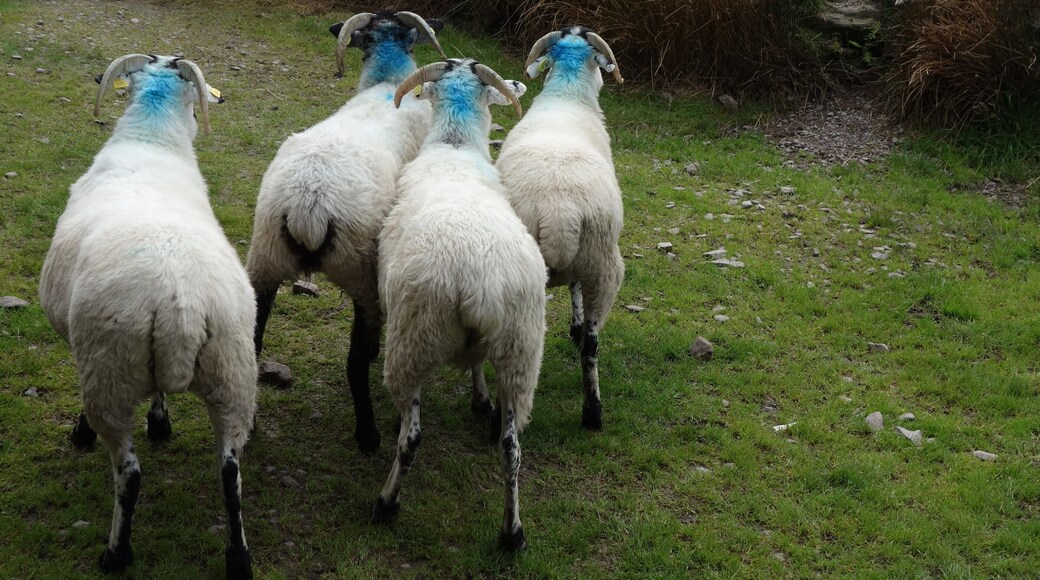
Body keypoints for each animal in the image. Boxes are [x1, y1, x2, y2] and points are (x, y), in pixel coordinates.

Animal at [38, 54, 256, 579]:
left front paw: (82, 432)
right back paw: (238, 557)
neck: (153, 138)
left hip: (111, 371)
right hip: (234, 372)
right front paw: (161, 421)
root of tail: (181, 306)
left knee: (129, 475)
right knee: (230, 472)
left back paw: (116, 552)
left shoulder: (84, 350)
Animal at [245, 11, 444, 453]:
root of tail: (308, 203)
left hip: (264, 258)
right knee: (355, 363)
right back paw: (367, 434)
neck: (388, 82)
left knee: (251, 343)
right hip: (361, 269)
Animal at [372, 59, 543, 551]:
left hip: (412, 339)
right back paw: (512, 533)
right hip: (521, 351)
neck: (455, 146)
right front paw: (479, 398)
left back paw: (386, 503)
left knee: (411, 437)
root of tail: (479, 286)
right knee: (512, 448)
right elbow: (476, 362)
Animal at [495, 27, 626, 431]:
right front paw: (574, 324)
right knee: (590, 346)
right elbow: (574, 290)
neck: (567, 95)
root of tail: (559, 213)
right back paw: (592, 412)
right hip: (605, 265)